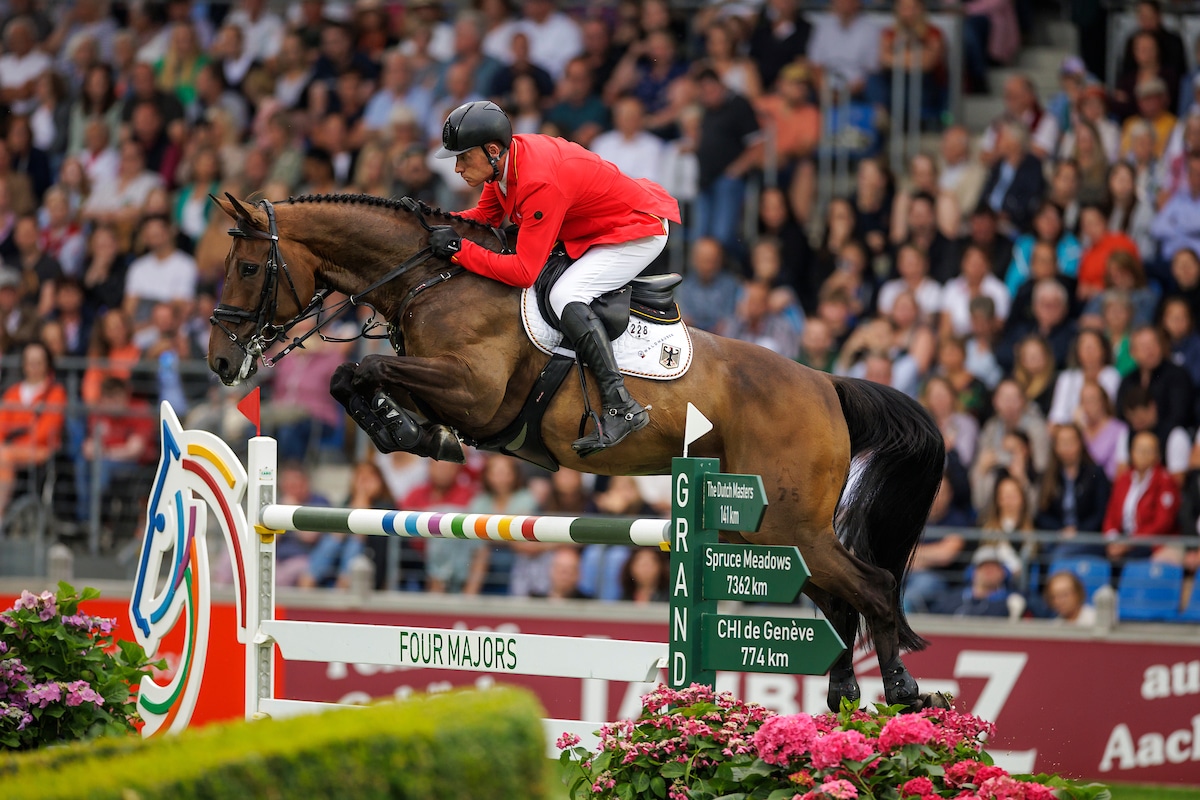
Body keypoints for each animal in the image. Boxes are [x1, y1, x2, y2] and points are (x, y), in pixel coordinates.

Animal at [211, 194, 950, 714]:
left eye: (247, 268)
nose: (221, 362)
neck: (436, 279)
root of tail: (826, 383)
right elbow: (356, 379)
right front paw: (409, 432)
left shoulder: (475, 392)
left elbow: (359, 371)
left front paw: (412, 433)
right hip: (767, 532)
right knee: (841, 604)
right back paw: (846, 700)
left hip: (787, 524)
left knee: (873, 587)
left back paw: (902, 694)